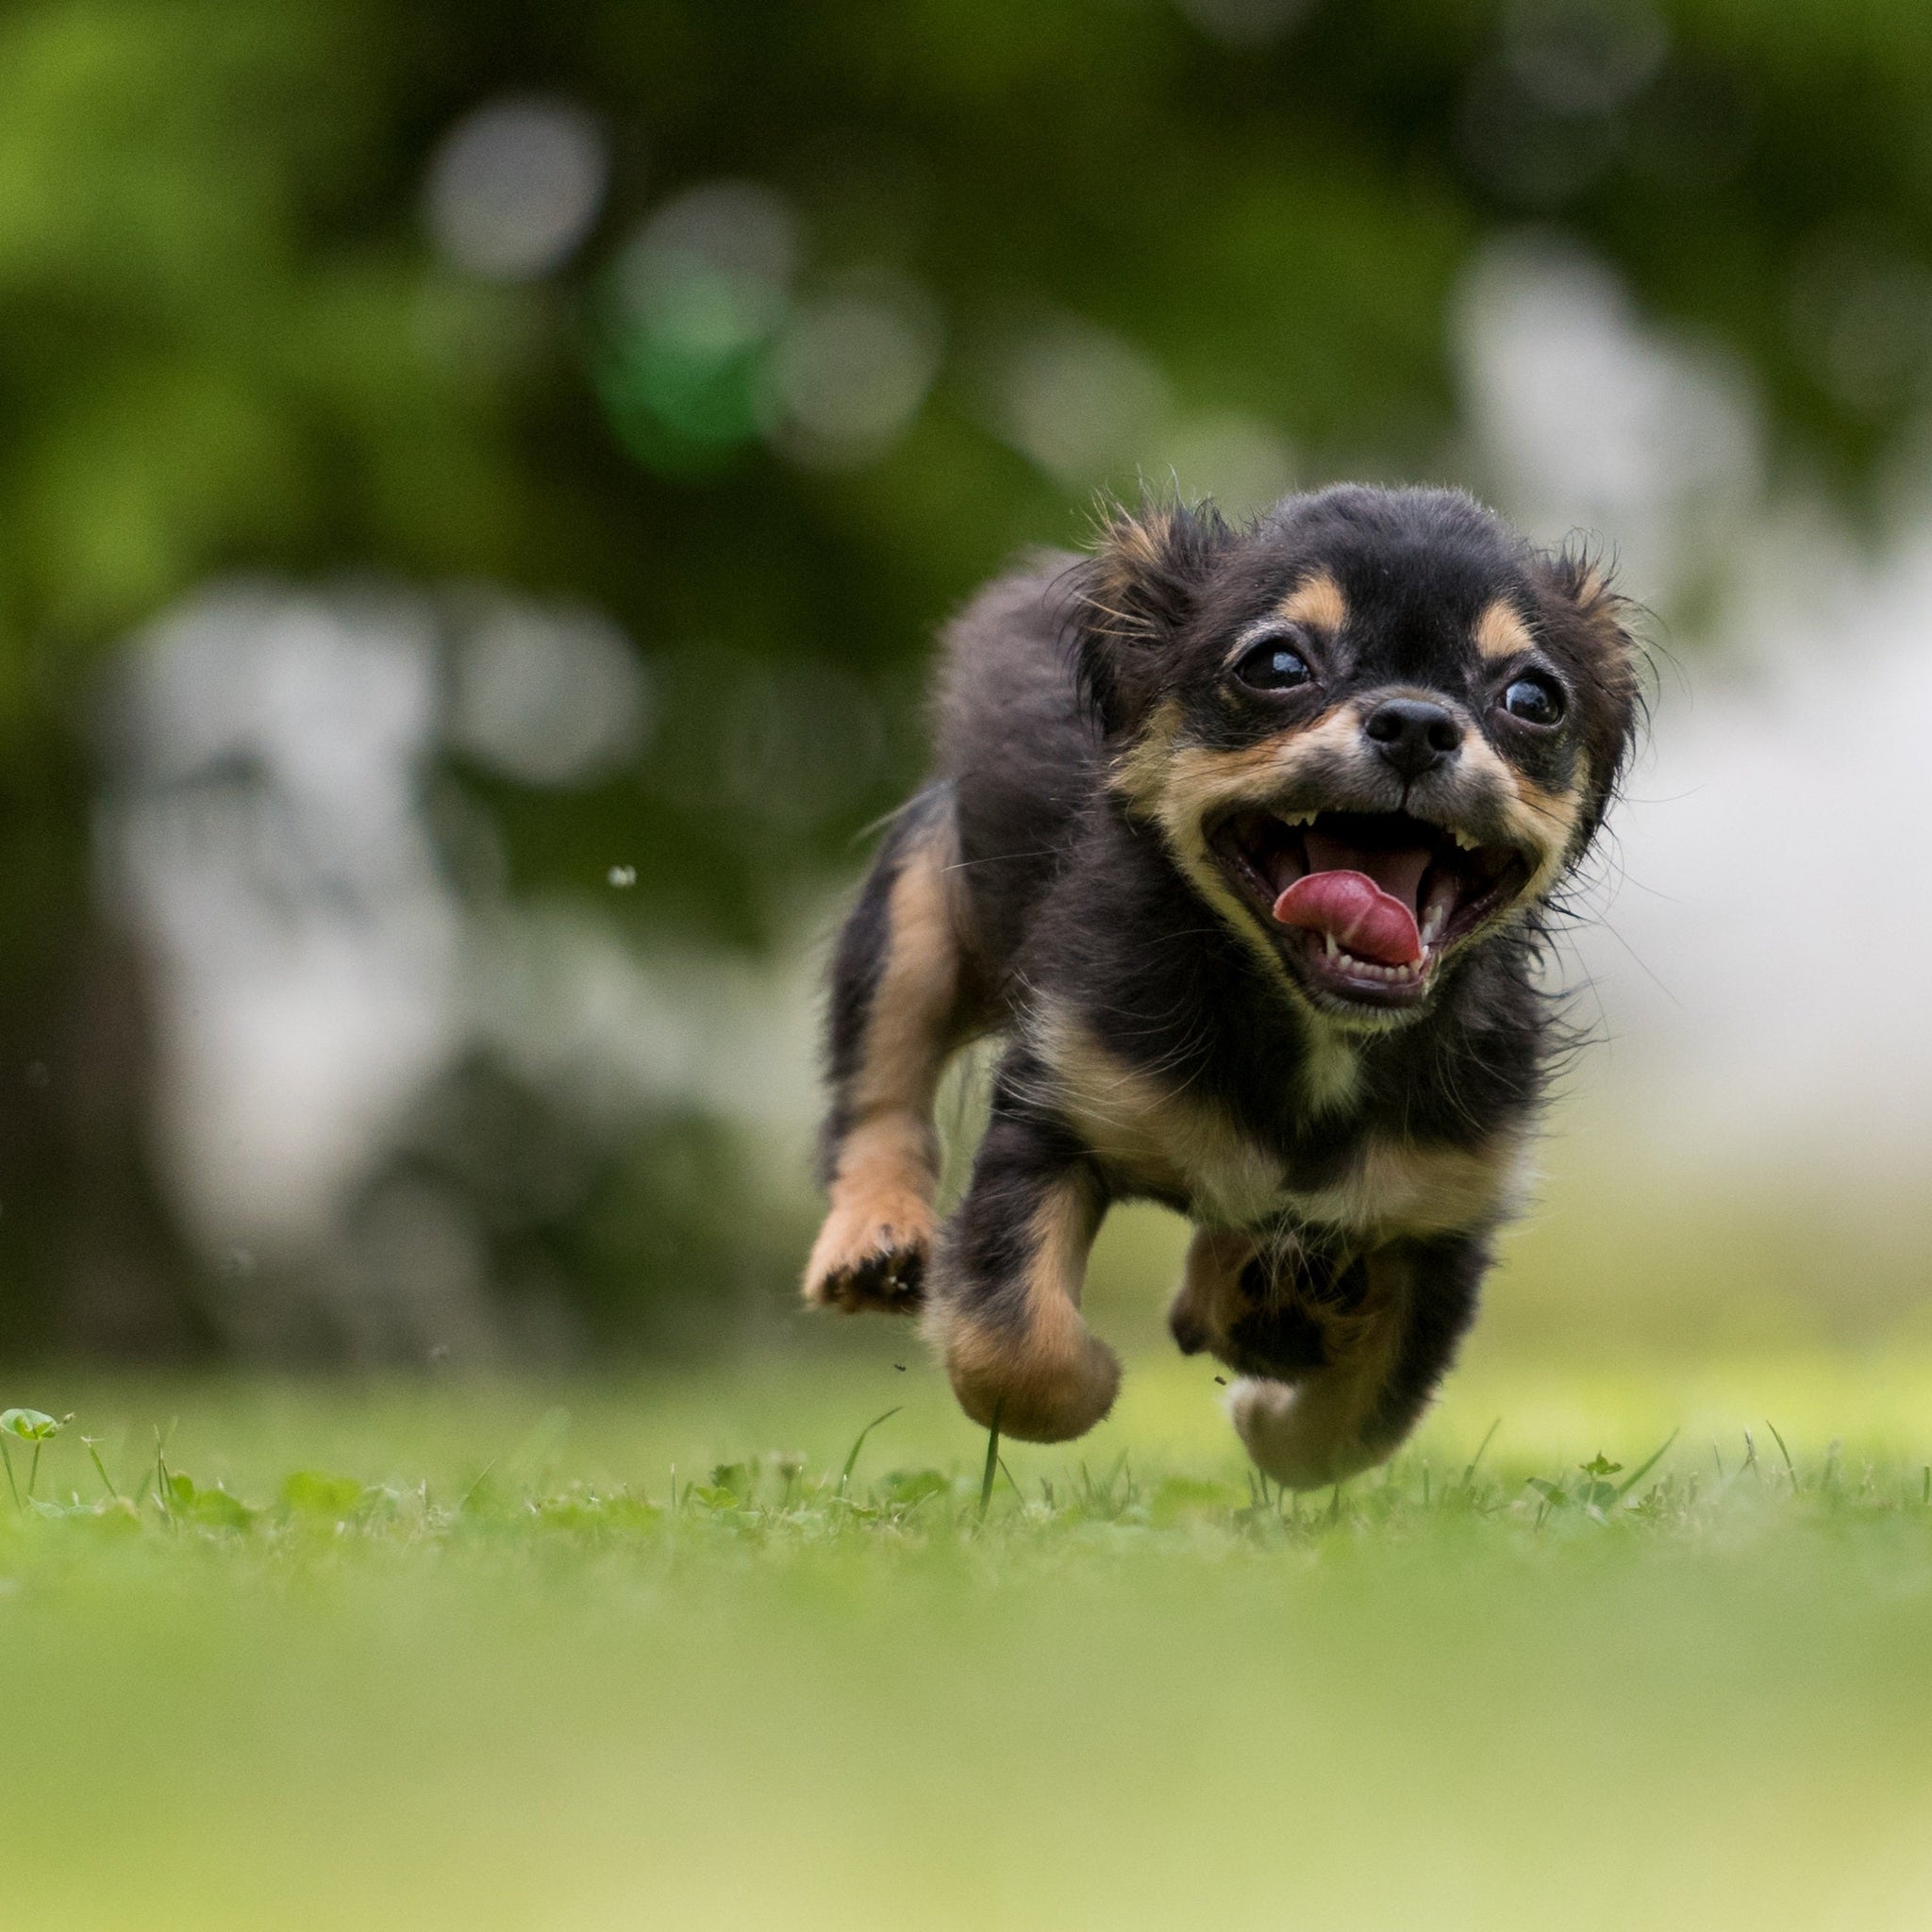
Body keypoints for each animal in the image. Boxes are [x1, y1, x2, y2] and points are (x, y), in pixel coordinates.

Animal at [808, 491, 1638, 1483]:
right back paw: (874, 1237)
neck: (1315, 1031)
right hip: (919, 914)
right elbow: (1014, 1353)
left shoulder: (1439, 1217)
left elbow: (1351, 1429)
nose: (1415, 722)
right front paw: (1097, 1379)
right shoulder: (1055, 1112)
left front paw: (1264, 1407)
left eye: (1533, 700)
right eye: (1276, 665)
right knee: (880, 1088)